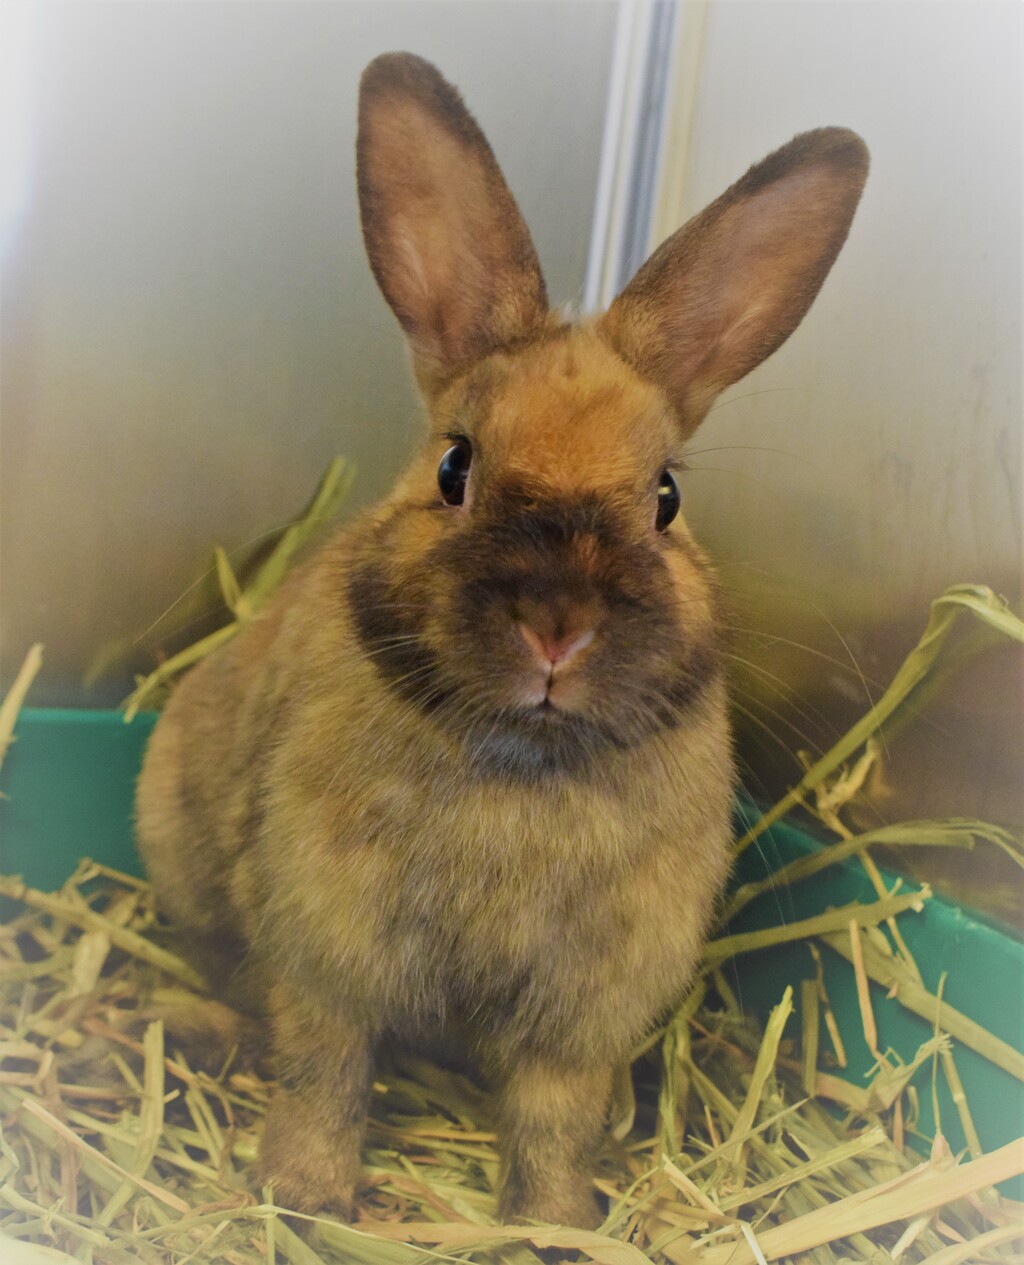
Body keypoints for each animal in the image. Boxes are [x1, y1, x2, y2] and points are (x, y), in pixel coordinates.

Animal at [135, 51, 868, 1229]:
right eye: (454, 466)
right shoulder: (327, 954)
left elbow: (555, 1115)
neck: (523, 761)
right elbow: (325, 1073)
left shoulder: (584, 1010)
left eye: (665, 497)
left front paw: (555, 1226)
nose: (557, 625)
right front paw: (302, 1196)